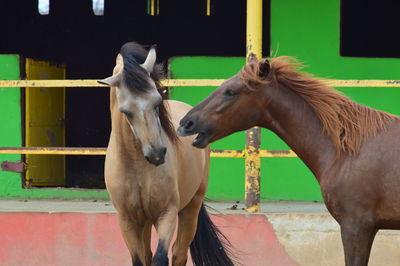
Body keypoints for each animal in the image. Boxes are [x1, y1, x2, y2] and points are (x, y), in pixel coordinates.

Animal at [98, 41, 233, 266]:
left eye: (157, 102)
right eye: (126, 111)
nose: (157, 153)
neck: (136, 165)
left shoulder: (166, 213)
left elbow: (161, 257)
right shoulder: (127, 220)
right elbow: (140, 259)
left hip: (191, 207)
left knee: (179, 253)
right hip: (144, 221)